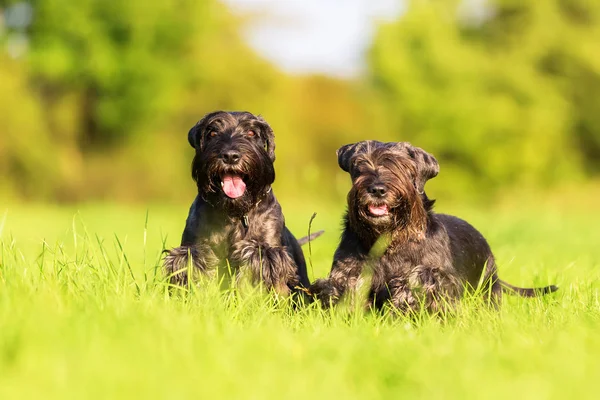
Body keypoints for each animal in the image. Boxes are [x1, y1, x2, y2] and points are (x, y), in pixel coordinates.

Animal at [162, 111, 316, 296]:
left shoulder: (266, 252)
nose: (230, 156)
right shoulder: (194, 248)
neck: (234, 213)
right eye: (212, 133)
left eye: (251, 132)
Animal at [310, 141, 556, 312]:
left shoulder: (433, 275)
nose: (377, 189)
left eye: (403, 167)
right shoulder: (346, 272)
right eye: (360, 165)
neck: (387, 238)